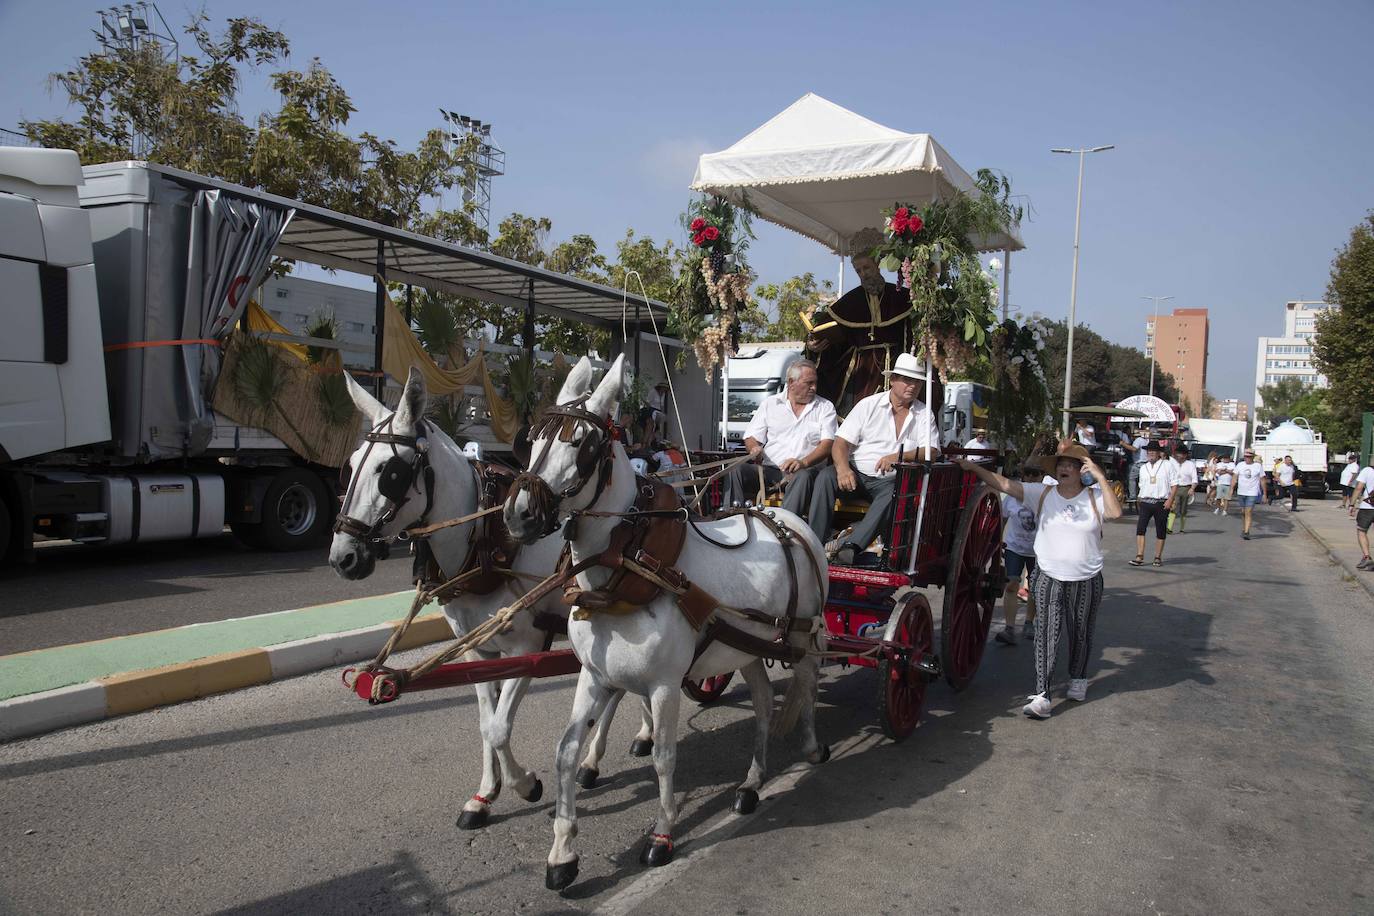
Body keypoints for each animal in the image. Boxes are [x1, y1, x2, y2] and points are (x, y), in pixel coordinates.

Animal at [332, 368, 654, 829]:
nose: (343, 557)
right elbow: (487, 721)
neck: (486, 542)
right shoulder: (477, 648)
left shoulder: (527, 644)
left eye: (388, 471)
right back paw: (614, 750)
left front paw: (526, 784)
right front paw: (484, 795)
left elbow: (500, 727)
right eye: (351, 464)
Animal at [505, 351, 824, 889]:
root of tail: (788, 520)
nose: (518, 515)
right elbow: (567, 750)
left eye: (581, 444)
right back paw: (751, 783)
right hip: (747, 648)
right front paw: (563, 852)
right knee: (763, 701)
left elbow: (663, 756)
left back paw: (812, 746)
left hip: (800, 639)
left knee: (807, 682)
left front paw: (661, 834)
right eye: (532, 438)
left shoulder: (665, 685)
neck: (627, 570)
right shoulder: (594, 676)